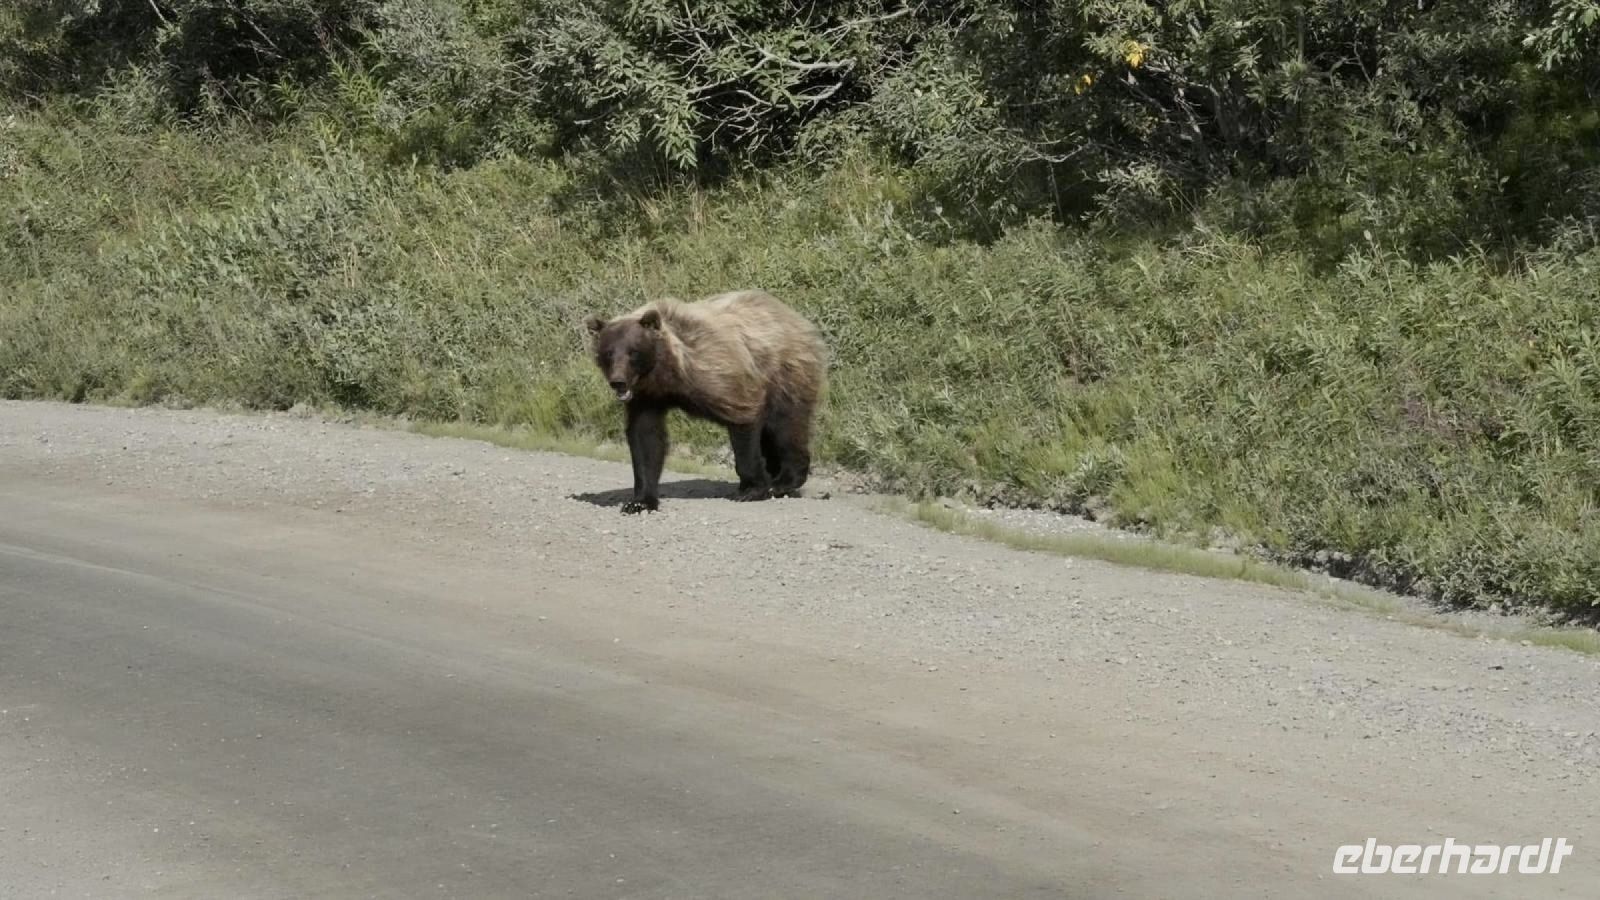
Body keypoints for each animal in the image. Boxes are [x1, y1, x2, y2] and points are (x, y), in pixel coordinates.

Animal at [584, 289, 827, 514]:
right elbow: (646, 438)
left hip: (785, 373)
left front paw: (751, 489)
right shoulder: (647, 397)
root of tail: (798, 319)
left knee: (785, 425)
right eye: (608, 353)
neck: (667, 372)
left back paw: (782, 481)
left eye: (633, 352)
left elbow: (743, 418)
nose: (618, 381)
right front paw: (639, 502)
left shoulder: (716, 371)